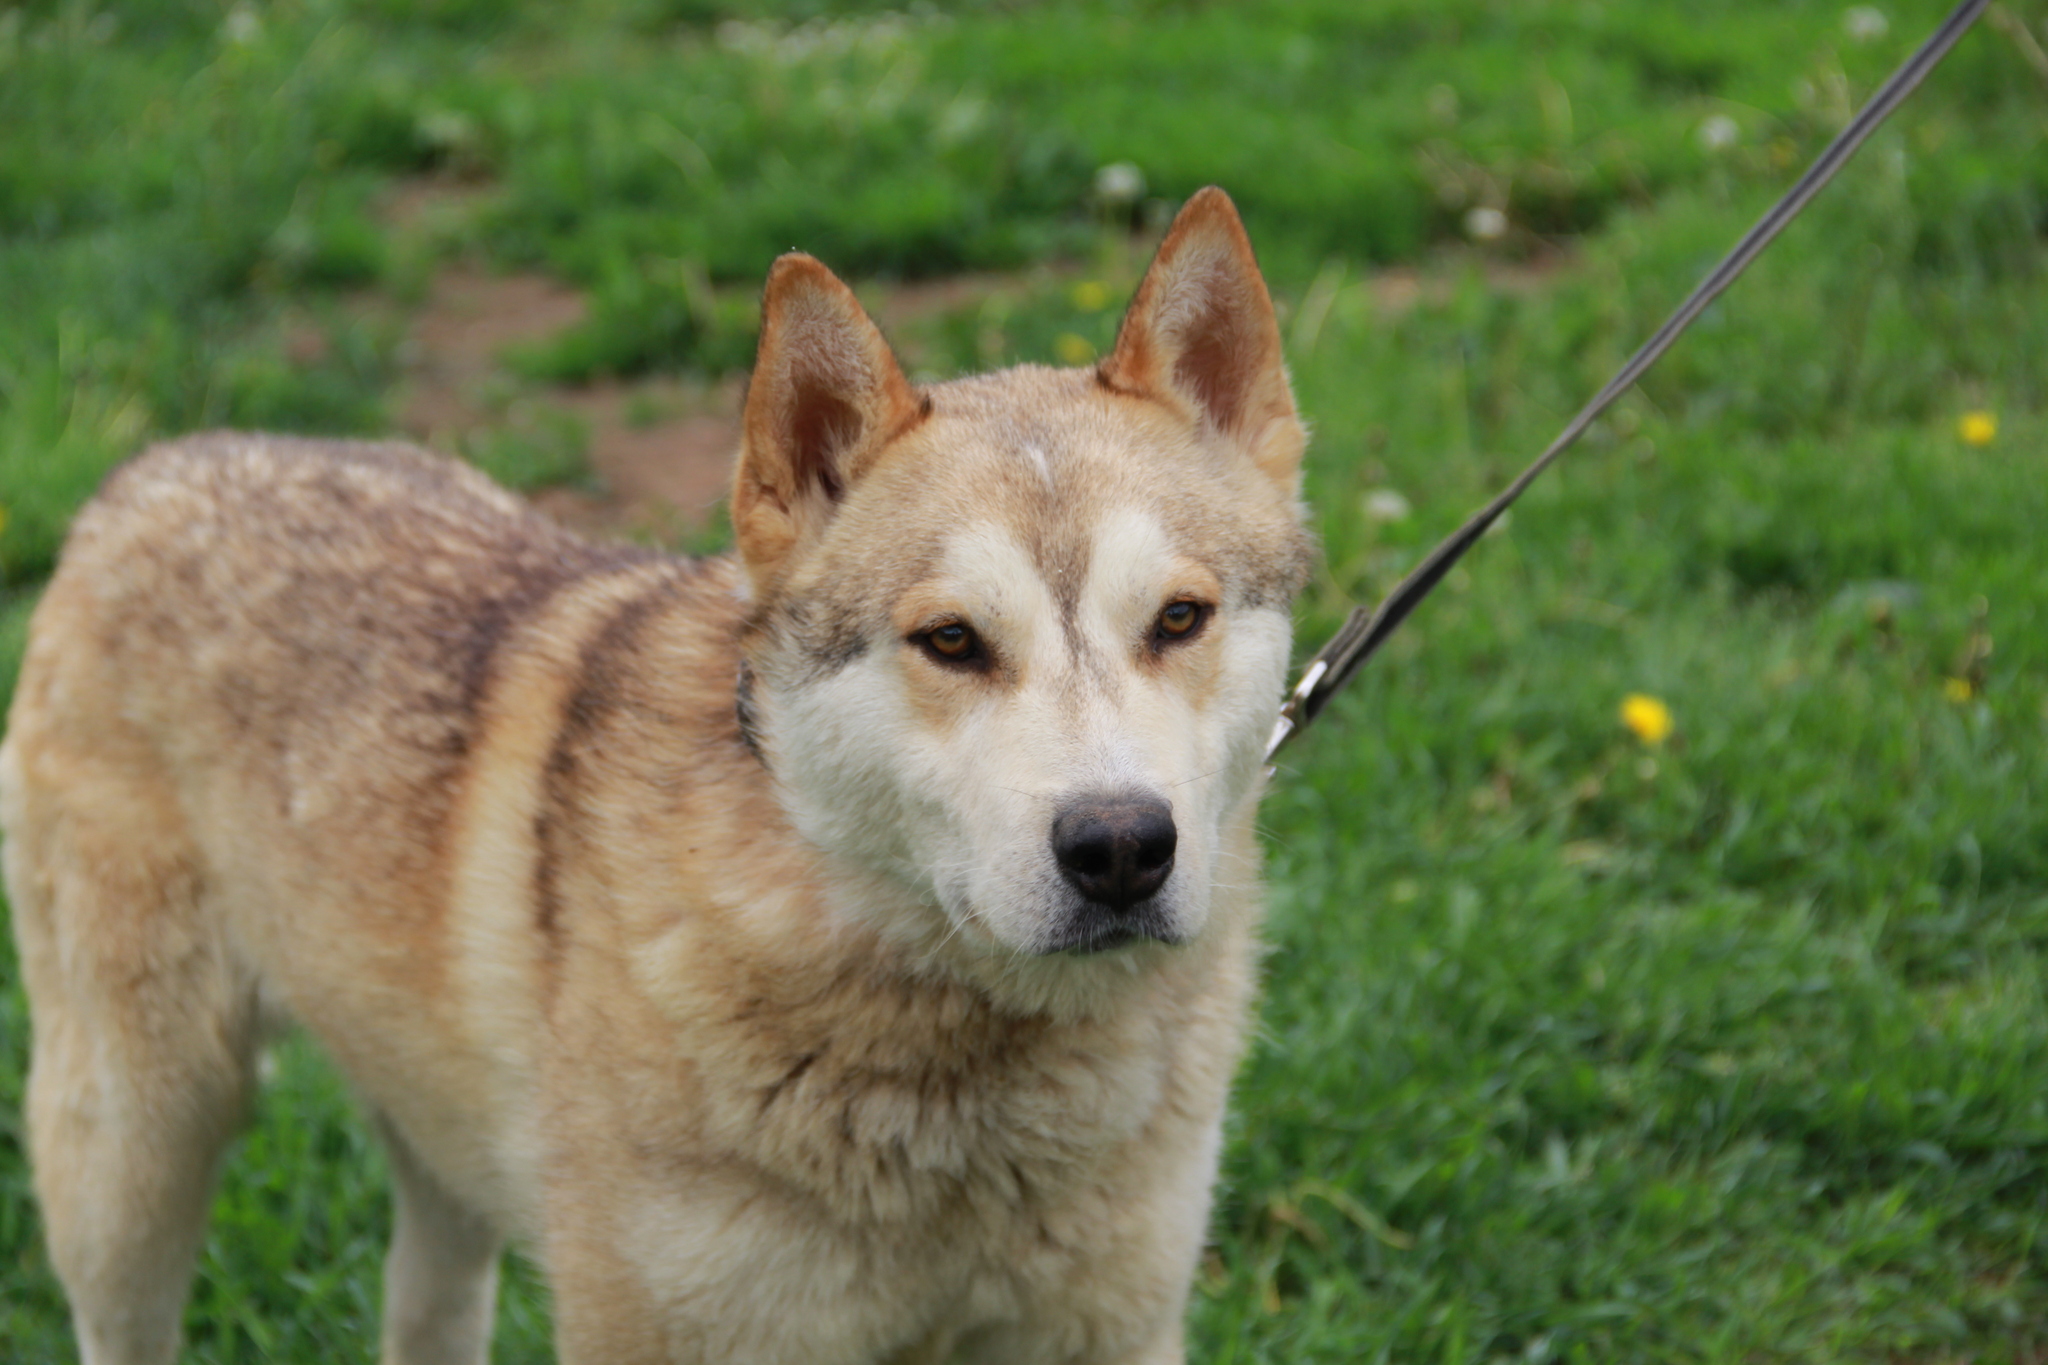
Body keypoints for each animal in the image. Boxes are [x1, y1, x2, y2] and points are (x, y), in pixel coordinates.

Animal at [4, 184, 1310, 1365]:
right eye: (951, 641)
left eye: (1178, 619)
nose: (1120, 848)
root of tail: (158, 461)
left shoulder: (1114, 1326)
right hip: (135, 1146)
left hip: (433, 1169)